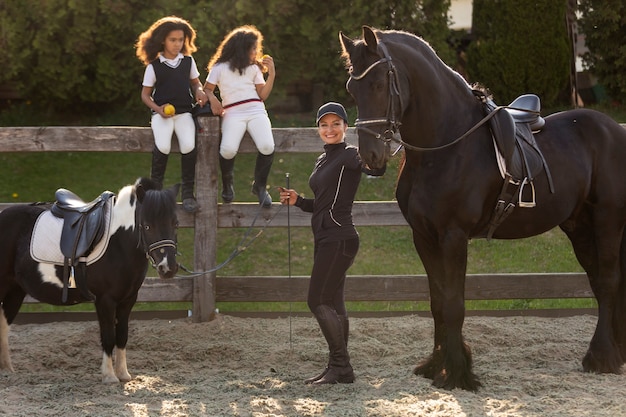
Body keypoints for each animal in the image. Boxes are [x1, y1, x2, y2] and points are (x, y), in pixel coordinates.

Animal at [0, 177, 178, 382]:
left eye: (175, 223)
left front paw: (123, 374)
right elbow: (108, 336)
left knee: (3, 326)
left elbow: (122, 336)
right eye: (147, 225)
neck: (118, 244)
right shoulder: (105, 301)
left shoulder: (127, 300)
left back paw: (7, 369)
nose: (168, 267)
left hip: (15, 291)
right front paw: (109, 376)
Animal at [338, 26, 624, 390]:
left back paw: (600, 358)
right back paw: (614, 352)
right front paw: (436, 365)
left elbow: (454, 304)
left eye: (378, 84)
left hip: (607, 220)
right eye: (352, 88)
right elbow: (438, 302)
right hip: (579, 226)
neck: (447, 145)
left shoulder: (454, 236)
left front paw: (458, 373)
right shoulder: (424, 237)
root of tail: (613, 129)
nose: (371, 157)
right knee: (599, 281)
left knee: (608, 281)